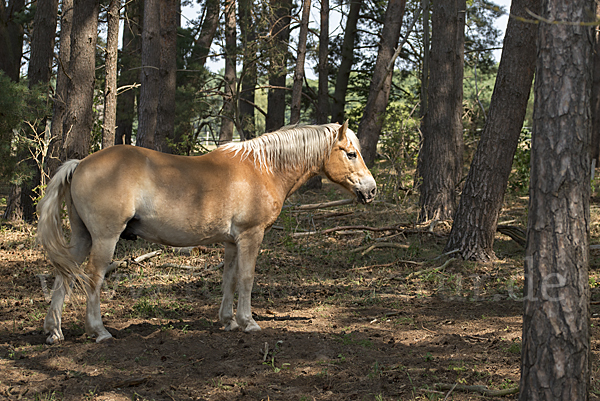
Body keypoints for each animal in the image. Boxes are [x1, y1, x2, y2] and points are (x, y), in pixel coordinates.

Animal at [36, 120, 376, 342]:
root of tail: (80, 164)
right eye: (351, 153)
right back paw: (100, 331)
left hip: (82, 238)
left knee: (64, 275)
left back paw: (54, 331)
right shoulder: (251, 235)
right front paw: (248, 322)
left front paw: (229, 321)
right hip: (105, 239)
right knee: (93, 278)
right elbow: (247, 278)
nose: (371, 190)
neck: (263, 168)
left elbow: (229, 277)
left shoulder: (232, 241)